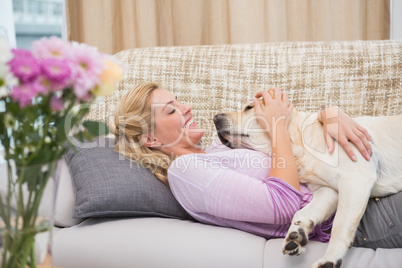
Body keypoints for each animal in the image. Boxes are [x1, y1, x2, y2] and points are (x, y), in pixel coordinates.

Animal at [214, 91, 402, 266]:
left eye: (249, 107)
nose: (215, 117)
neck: (302, 147)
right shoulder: (328, 191)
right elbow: (302, 212)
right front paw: (297, 235)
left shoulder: (356, 179)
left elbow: (340, 225)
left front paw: (330, 259)